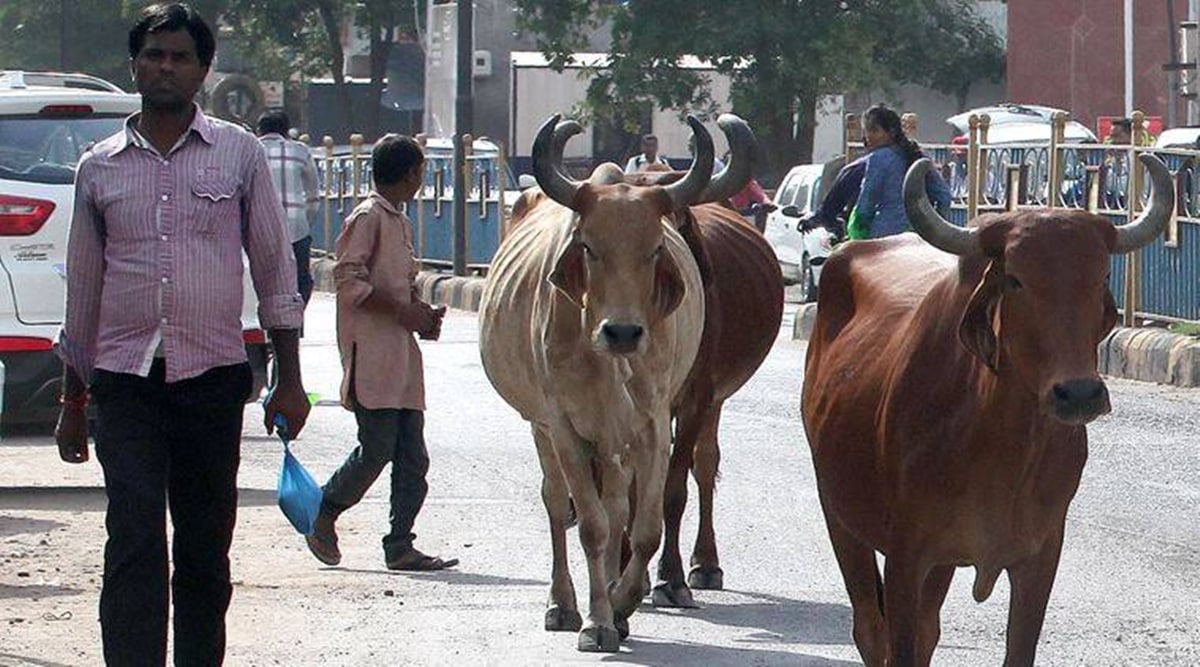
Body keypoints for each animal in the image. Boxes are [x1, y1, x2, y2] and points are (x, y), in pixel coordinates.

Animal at [478, 115, 710, 652]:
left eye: (655, 249)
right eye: (588, 246)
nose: (622, 332)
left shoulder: (652, 427)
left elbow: (643, 529)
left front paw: (621, 604)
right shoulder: (563, 427)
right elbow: (589, 526)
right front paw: (597, 621)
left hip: (616, 442)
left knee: (618, 507)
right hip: (544, 429)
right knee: (556, 504)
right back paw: (563, 603)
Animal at [801, 154, 1173, 666]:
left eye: (1100, 275)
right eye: (1015, 278)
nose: (1079, 393)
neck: (999, 444)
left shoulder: (1039, 557)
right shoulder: (906, 556)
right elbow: (898, 642)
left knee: (928, 629)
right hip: (839, 514)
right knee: (870, 628)